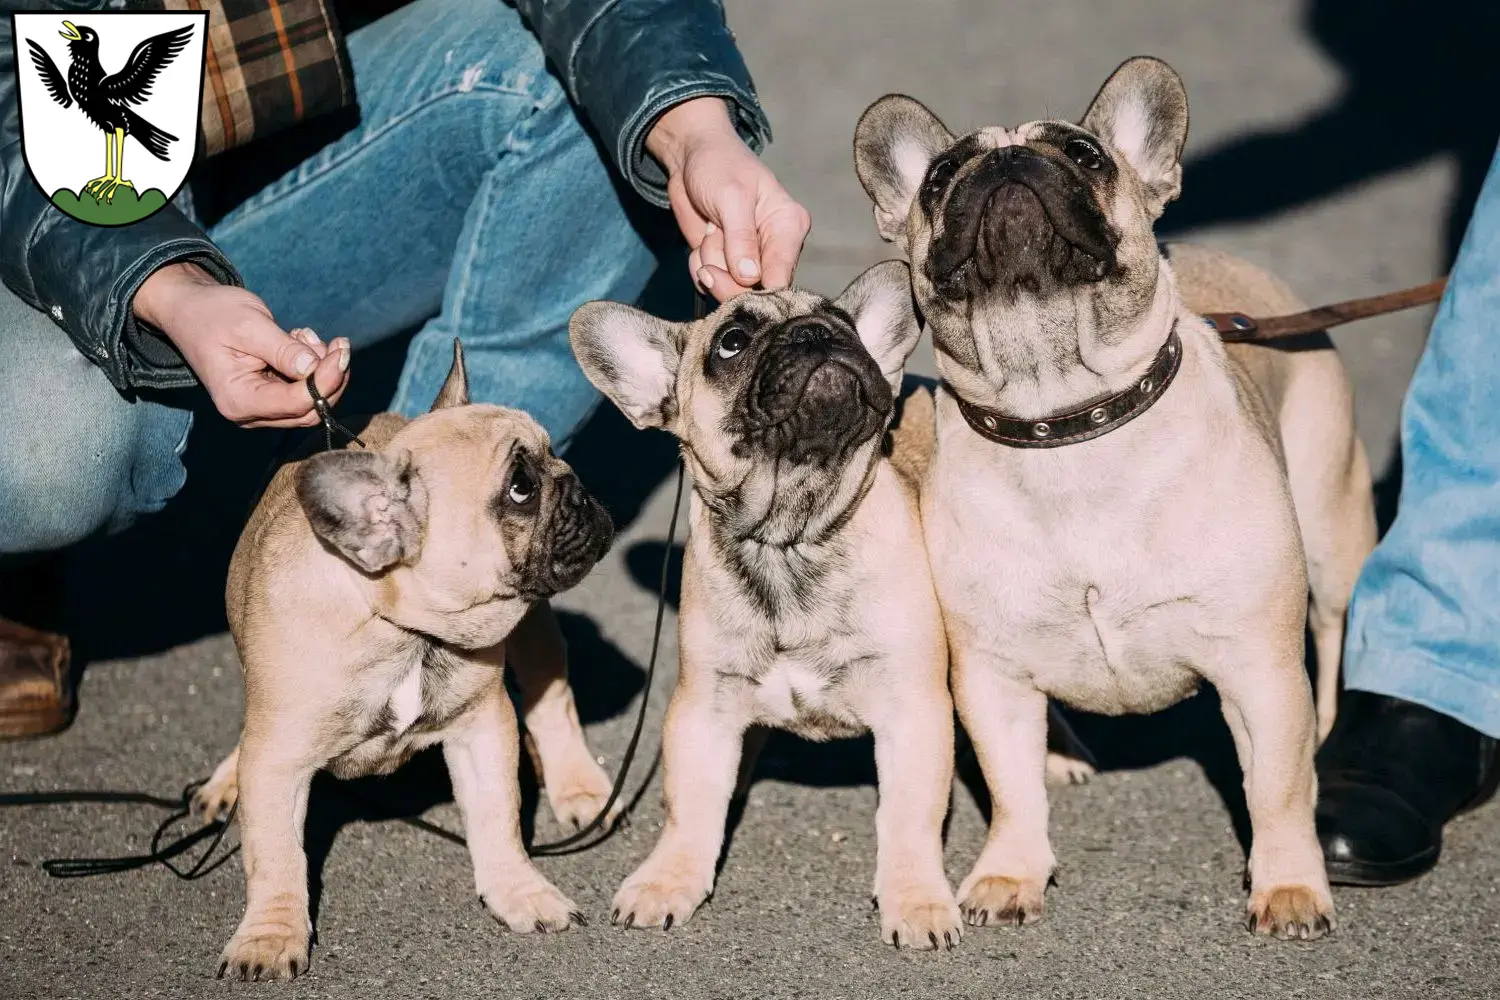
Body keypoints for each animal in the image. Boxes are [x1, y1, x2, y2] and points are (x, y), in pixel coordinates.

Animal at [196, 341, 618, 977]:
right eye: (521, 487)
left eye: (551, 454)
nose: (576, 483)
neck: (403, 630)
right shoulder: (276, 761)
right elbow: (275, 856)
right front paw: (269, 938)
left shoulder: (484, 726)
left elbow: (498, 819)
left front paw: (520, 891)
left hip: (535, 629)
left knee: (552, 689)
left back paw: (577, 784)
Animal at [567, 262, 966, 953]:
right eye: (732, 342)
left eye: (842, 319)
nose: (818, 332)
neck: (790, 536)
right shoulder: (702, 712)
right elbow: (689, 806)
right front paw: (670, 879)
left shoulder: (914, 711)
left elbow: (910, 816)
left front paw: (916, 899)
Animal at [852, 60, 1374, 941]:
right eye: (940, 175)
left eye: (1084, 154)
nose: (1008, 163)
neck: (1065, 416)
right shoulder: (992, 673)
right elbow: (1011, 790)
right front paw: (1010, 873)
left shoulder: (1260, 671)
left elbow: (1275, 791)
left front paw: (1289, 886)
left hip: (1333, 529)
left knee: (1335, 631)